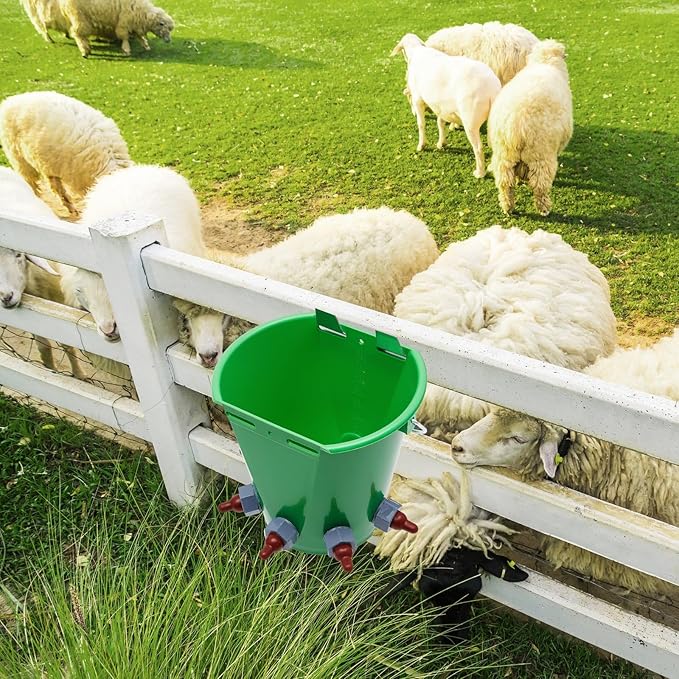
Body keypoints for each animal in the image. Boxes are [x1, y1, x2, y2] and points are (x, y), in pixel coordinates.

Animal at [391, 33, 501, 179]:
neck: (416, 52)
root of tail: (491, 88)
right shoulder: (441, 106)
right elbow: (440, 123)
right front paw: (441, 143)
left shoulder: (418, 99)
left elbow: (421, 124)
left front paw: (422, 145)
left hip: (470, 120)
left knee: (478, 148)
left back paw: (480, 172)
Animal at [488, 40, 573, 216]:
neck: (545, 62)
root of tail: (516, 124)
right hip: (540, 154)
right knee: (540, 185)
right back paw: (544, 209)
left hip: (504, 155)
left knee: (505, 183)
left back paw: (507, 207)